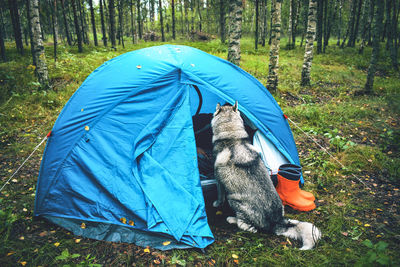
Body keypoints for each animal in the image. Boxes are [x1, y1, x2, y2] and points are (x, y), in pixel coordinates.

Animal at [211, 101, 320, 250]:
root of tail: (276, 221)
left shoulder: (218, 180)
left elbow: (219, 196)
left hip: (233, 199)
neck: (233, 137)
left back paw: (232, 219)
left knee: (247, 226)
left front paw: (216, 204)